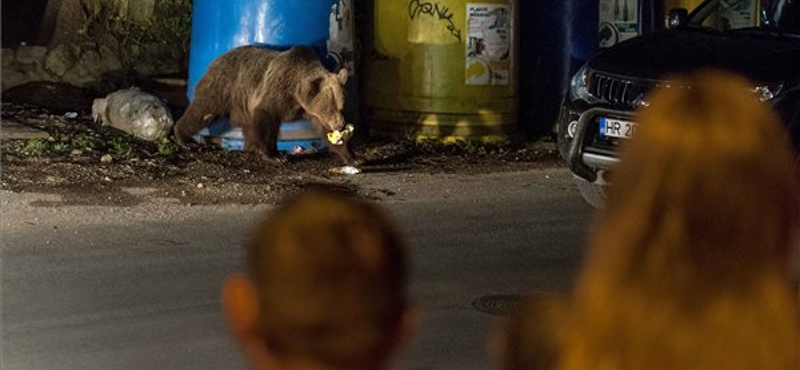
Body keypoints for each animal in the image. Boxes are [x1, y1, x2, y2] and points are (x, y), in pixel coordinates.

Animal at [178, 44, 360, 165]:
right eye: (329, 109)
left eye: (341, 106)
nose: (340, 124)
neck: (297, 94)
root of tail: (217, 59)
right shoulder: (279, 91)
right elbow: (267, 117)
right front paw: (276, 155)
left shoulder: (311, 110)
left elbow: (326, 130)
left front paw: (351, 156)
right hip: (223, 86)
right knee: (203, 111)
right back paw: (184, 138)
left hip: (241, 102)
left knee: (247, 124)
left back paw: (252, 145)